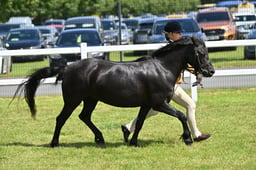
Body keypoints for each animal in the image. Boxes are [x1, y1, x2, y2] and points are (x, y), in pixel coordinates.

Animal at [15, 36, 214, 147]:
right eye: (201, 53)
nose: (210, 71)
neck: (161, 68)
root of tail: (67, 68)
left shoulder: (147, 104)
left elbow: (140, 123)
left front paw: (133, 142)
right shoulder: (159, 103)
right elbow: (181, 115)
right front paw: (188, 139)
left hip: (90, 100)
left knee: (84, 117)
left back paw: (100, 139)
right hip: (73, 100)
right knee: (61, 119)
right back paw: (54, 143)